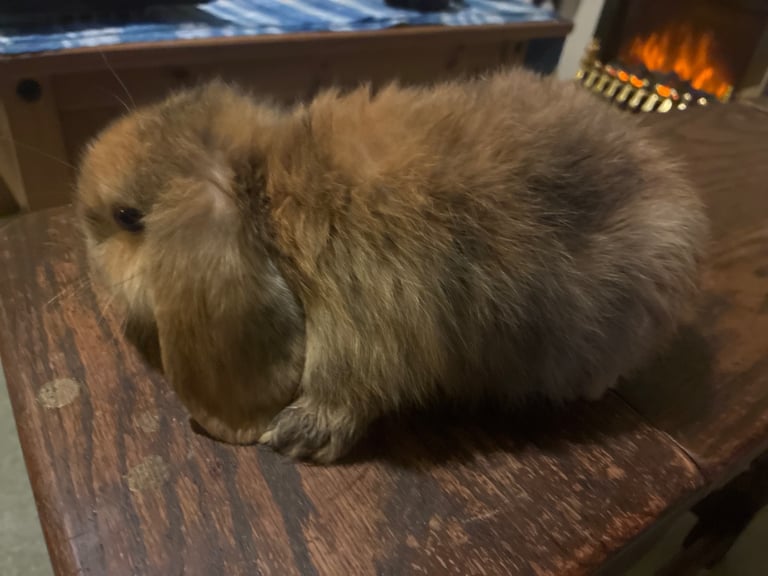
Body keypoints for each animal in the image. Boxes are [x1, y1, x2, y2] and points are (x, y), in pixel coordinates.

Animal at [75, 66, 708, 463]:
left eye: (127, 216)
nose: (83, 235)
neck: (270, 196)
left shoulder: (364, 323)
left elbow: (348, 389)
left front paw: (295, 435)